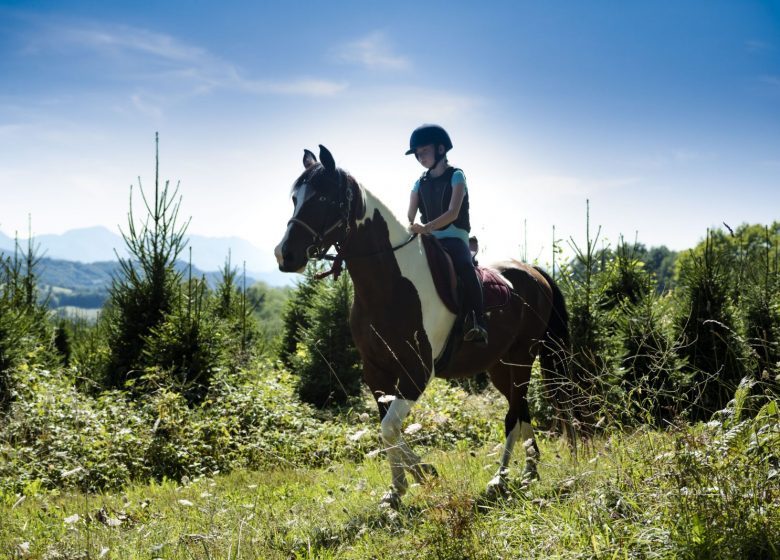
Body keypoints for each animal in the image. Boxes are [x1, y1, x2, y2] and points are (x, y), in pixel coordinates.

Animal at [274, 144, 572, 508]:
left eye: (325, 199)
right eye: (295, 198)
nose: (284, 255)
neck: (389, 284)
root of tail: (533, 272)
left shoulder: (416, 372)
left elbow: (389, 427)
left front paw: (420, 474)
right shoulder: (376, 373)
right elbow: (387, 428)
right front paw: (401, 486)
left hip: (521, 358)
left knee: (513, 413)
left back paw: (500, 479)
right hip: (499, 365)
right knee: (521, 408)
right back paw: (529, 471)